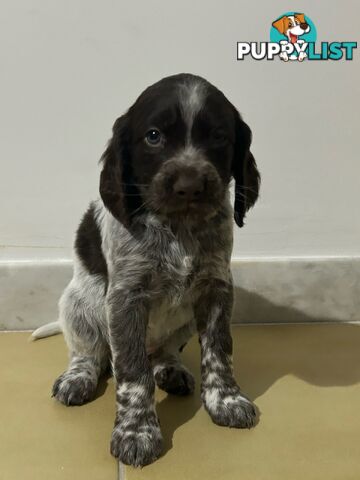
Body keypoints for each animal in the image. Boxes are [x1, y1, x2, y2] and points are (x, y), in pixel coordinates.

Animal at [39, 73, 260, 466]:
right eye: (153, 136)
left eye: (219, 136)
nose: (190, 186)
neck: (178, 228)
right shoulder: (127, 298)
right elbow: (132, 371)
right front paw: (136, 432)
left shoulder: (216, 288)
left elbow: (219, 350)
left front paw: (226, 399)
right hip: (78, 302)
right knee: (89, 352)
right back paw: (77, 378)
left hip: (183, 322)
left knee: (161, 351)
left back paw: (169, 369)